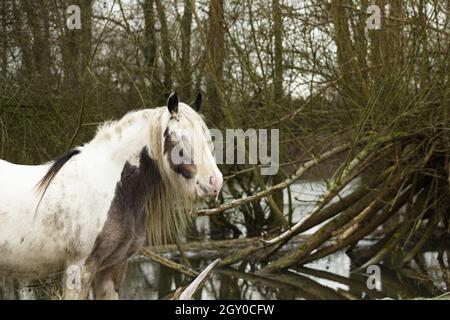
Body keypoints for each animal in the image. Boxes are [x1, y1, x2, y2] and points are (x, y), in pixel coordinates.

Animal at [0, 93, 223, 300]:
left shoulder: (113, 268)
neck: (112, 185)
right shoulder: (79, 269)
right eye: (180, 138)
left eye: (209, 137)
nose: (215, 182)